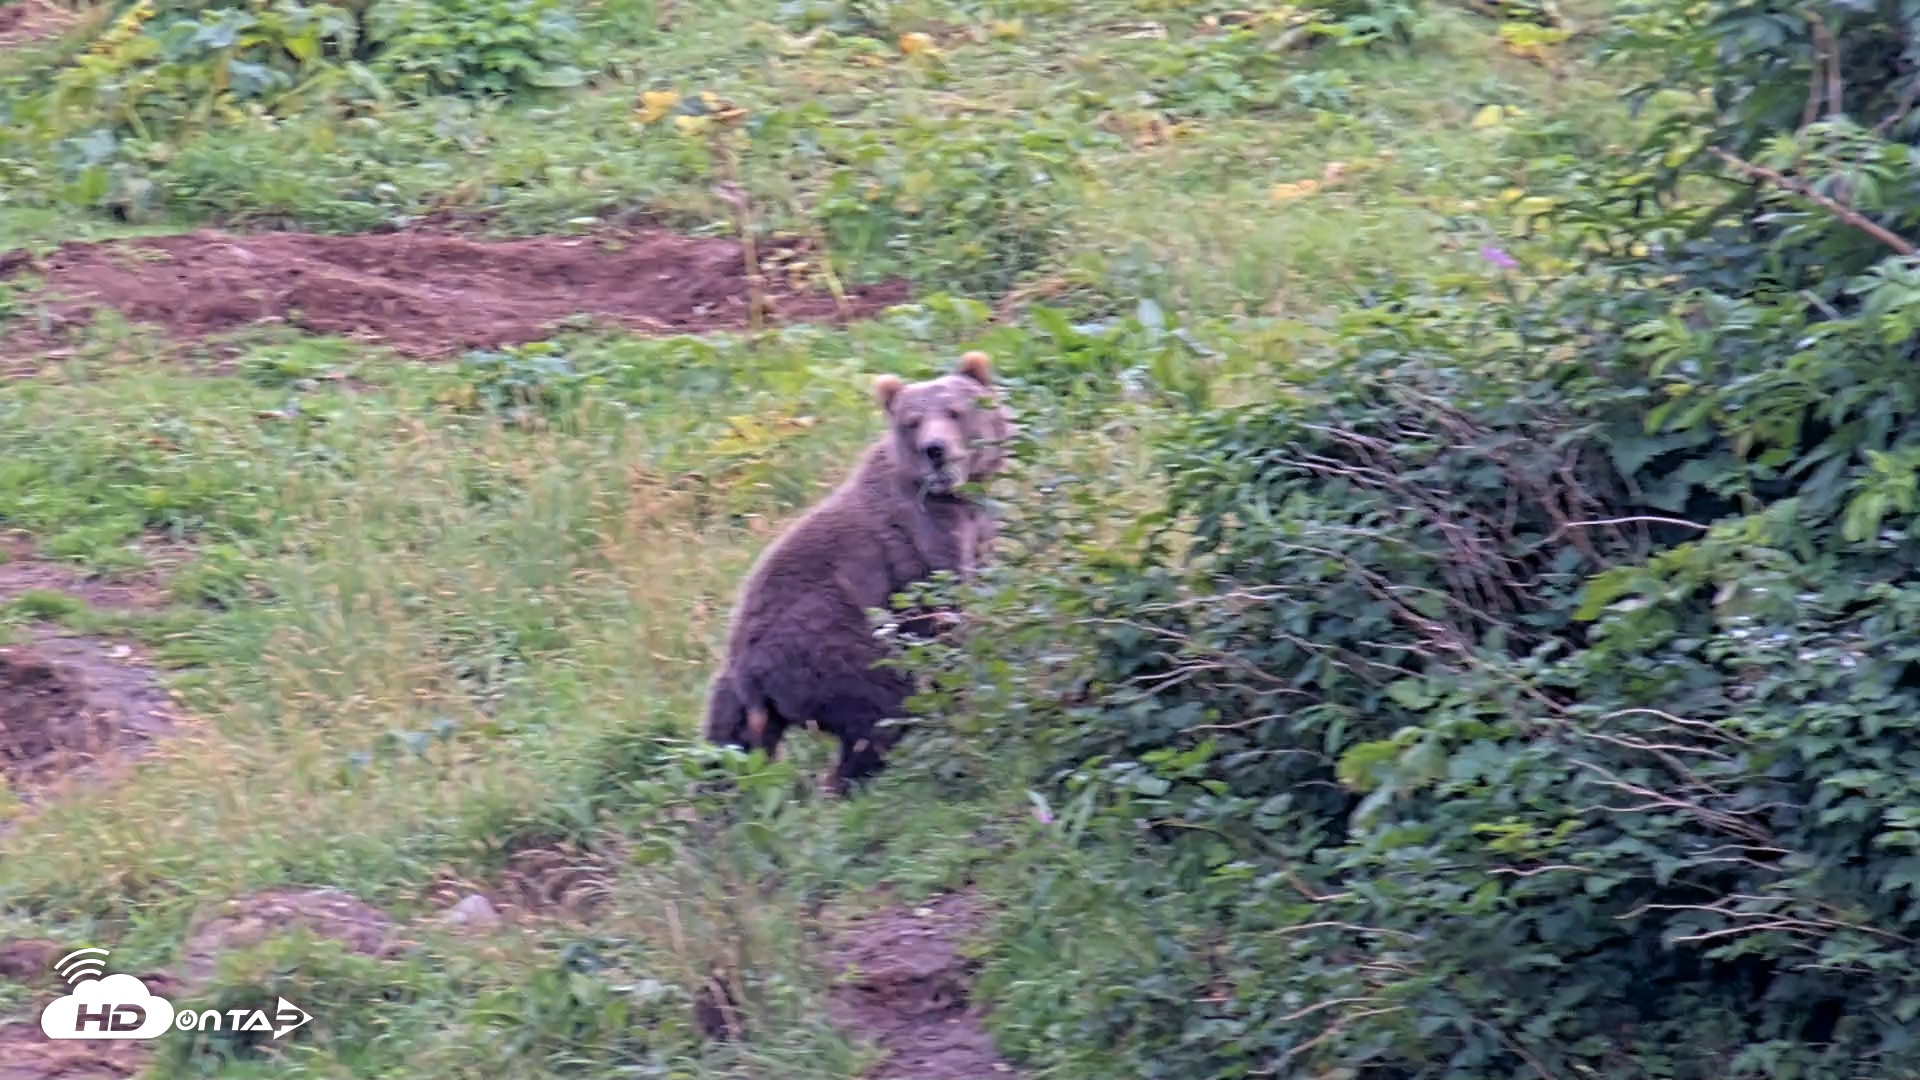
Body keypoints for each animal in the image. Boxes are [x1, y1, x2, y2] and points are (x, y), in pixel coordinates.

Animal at [703, 350, 1012, 794]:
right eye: (912, 421)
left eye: (955, 411)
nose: (935, 449)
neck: (954, 500)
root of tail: (753, 674)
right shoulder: (921, 544)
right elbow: (942, 617)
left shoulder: (975, 530)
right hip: (834, 650)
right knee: (882, 711)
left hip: (735, 692)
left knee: (727, 743)